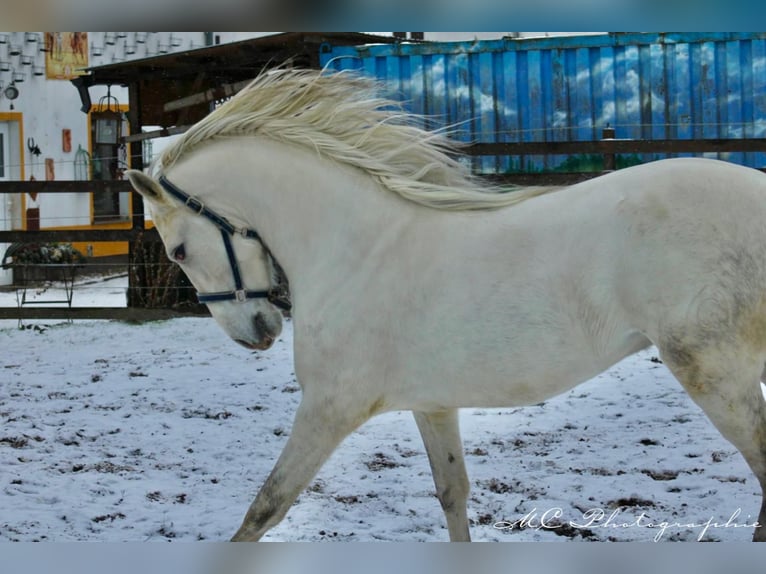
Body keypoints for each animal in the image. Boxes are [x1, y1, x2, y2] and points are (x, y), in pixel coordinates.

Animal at [129, 68, 766, 544]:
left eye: (178, 250)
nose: (257, 332)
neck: (358, 246)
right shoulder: (432, 405)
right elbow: (452, 494)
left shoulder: (330, 407)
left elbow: (266, 506)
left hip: (713, 371)